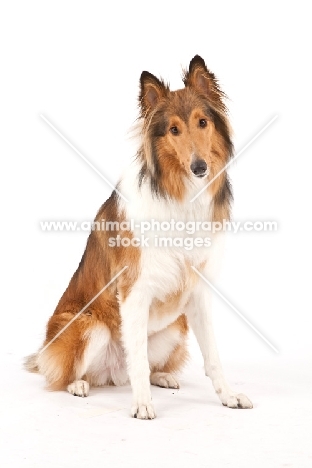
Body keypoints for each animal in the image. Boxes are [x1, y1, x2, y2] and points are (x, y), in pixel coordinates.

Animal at [25, 55, 252, 420]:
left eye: (202, 122)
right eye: (173, 130)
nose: (200, 167)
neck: (179, 195)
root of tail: (112, 373)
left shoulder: (199, 292)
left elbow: (213, 357)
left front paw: (228, 396)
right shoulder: (134, 289)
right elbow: (139, 359)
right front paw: (142, 404)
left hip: (175, 328)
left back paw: (164, 378)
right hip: (88, 325)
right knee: (69, 373)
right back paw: (78, 385)